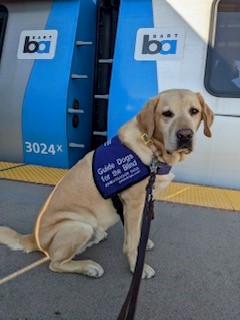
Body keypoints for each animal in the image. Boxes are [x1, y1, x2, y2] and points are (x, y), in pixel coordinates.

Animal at [0, 89, 214, 278]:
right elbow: (131, 241)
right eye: (167, 114)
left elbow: (134, 232)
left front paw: (142, 244)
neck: (153, 148)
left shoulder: (135, 204)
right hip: (79, 226)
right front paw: (137, 266)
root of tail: (32, 238)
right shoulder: (134, 203)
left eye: (194, 111)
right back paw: (88, 267)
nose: (185, 135)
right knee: (56, 263)